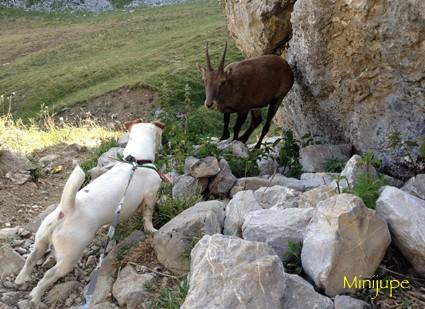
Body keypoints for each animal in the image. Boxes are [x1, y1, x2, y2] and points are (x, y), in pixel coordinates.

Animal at [15, 119, 164, 304]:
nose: (162, 146)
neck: (136, 160)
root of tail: (66, 211)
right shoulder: (151, 195)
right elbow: (147, 216)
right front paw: (151, 230)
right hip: (70, 255)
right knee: (49, 275)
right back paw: (35, 298)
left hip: (41, 241)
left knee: (31, 258)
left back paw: (21, 279)